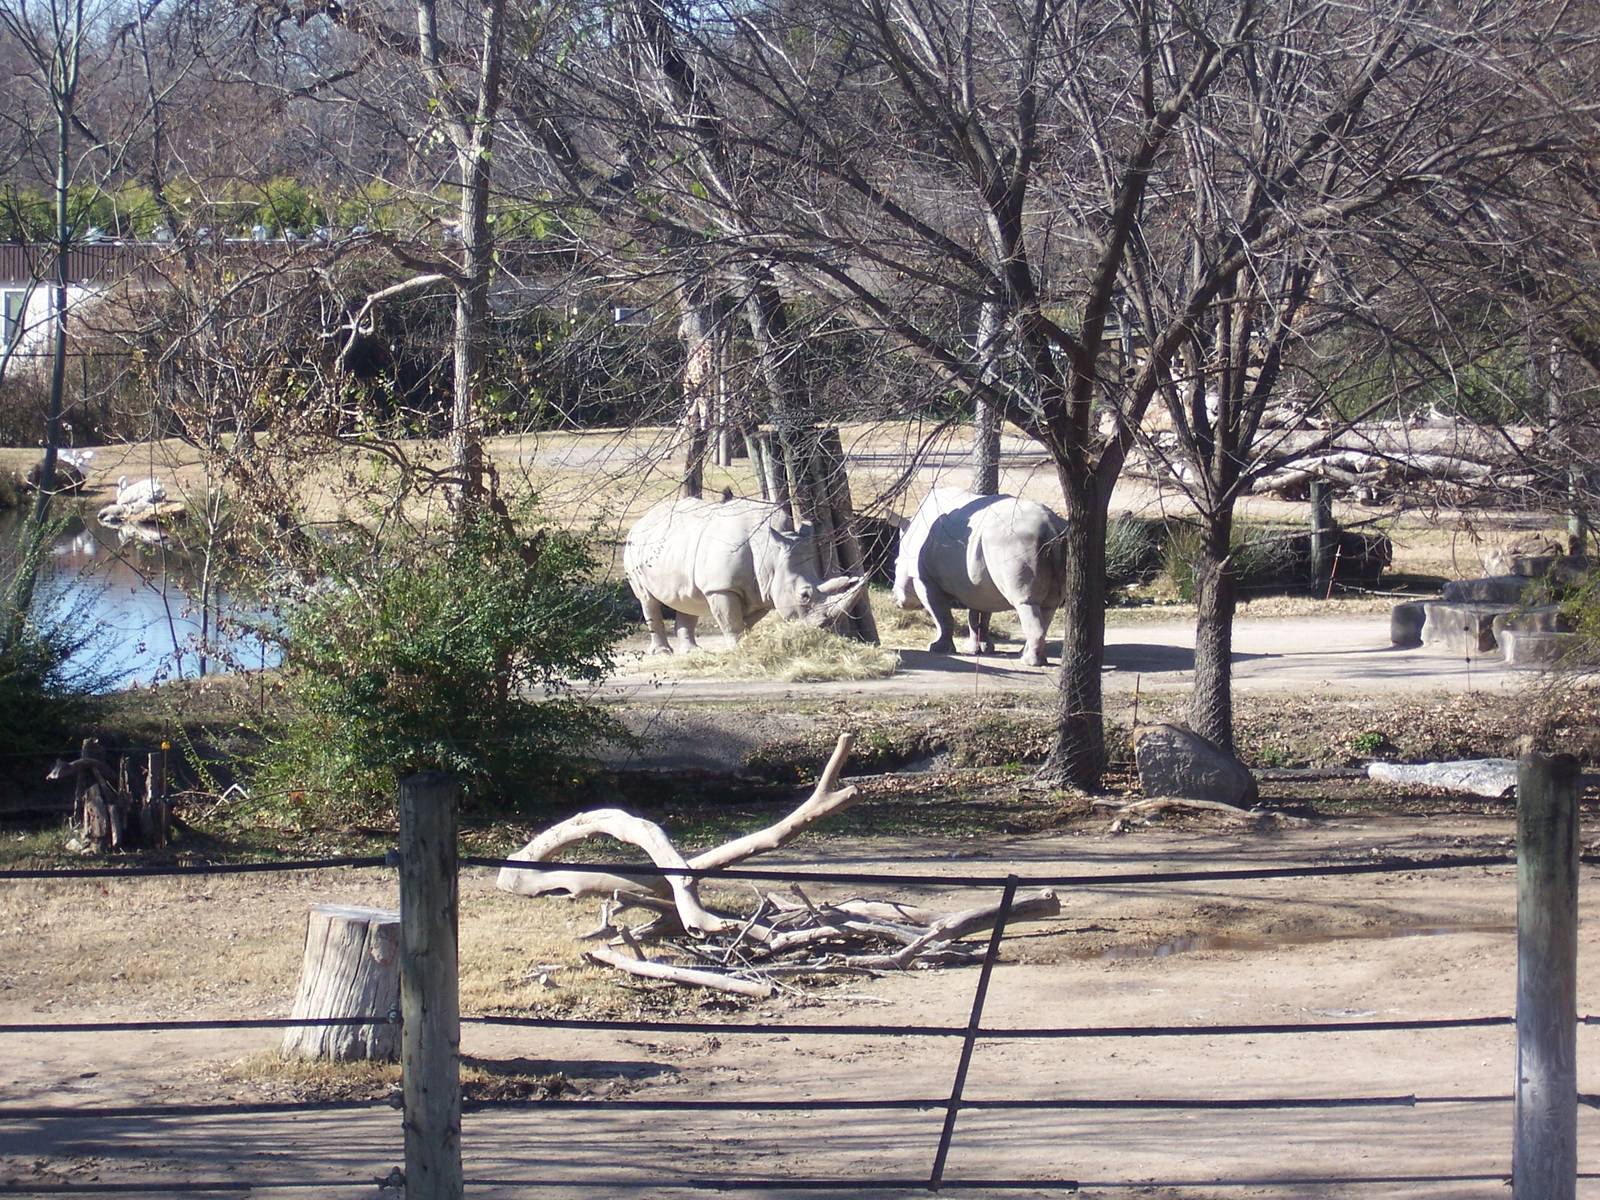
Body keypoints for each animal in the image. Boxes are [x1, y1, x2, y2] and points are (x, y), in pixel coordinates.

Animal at [624, 495, 865, 653]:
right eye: (804, 595)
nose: (823, 630)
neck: (770, 551)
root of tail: (641, 520)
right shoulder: (721, 587)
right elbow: (731, 621)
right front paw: (738, 650)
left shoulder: (762, 590)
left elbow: (743, 621)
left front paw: (744, 645)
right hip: (633, 548)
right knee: (647, 600)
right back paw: (663, 652)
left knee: (687, 600)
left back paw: (693, 652)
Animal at [893, 488, 1067, 667]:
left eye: (895, 563)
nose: (895, 598)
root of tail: (1052, 526)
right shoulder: (979, 587)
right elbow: (978, 616)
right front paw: (979, 649)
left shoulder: (925, 580)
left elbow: (942, 616)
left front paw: (938, 648)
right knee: (1048, 606)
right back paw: (1027, 656)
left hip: (1019, 541)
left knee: (1025, 603)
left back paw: (1029, 662)